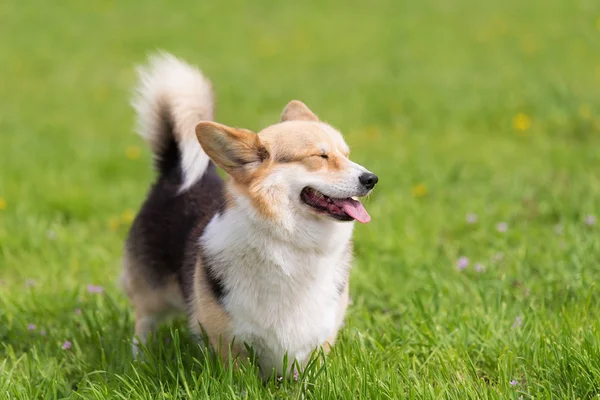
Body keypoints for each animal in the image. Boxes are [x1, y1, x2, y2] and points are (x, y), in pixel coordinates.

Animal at [119, 53, 378, 378]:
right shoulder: (230, 341)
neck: (290, 240)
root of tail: (174, 170)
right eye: (320, 157)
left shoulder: (319, 338)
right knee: (143, 325)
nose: (372, 179)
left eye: (346, 154)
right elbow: (241, 377)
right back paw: (140, 361)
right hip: (150, 294)